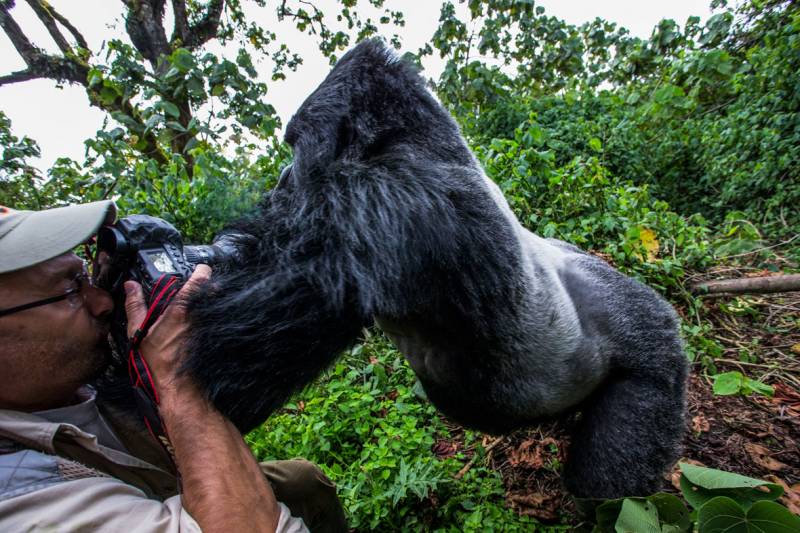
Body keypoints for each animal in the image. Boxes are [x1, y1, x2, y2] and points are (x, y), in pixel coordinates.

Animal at [182, 38, 688, 502]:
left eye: (295, 146)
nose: (282, 183)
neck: (417, 143)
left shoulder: (391, 202)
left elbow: (227, 362)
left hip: (648, 340)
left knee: (625, 438)